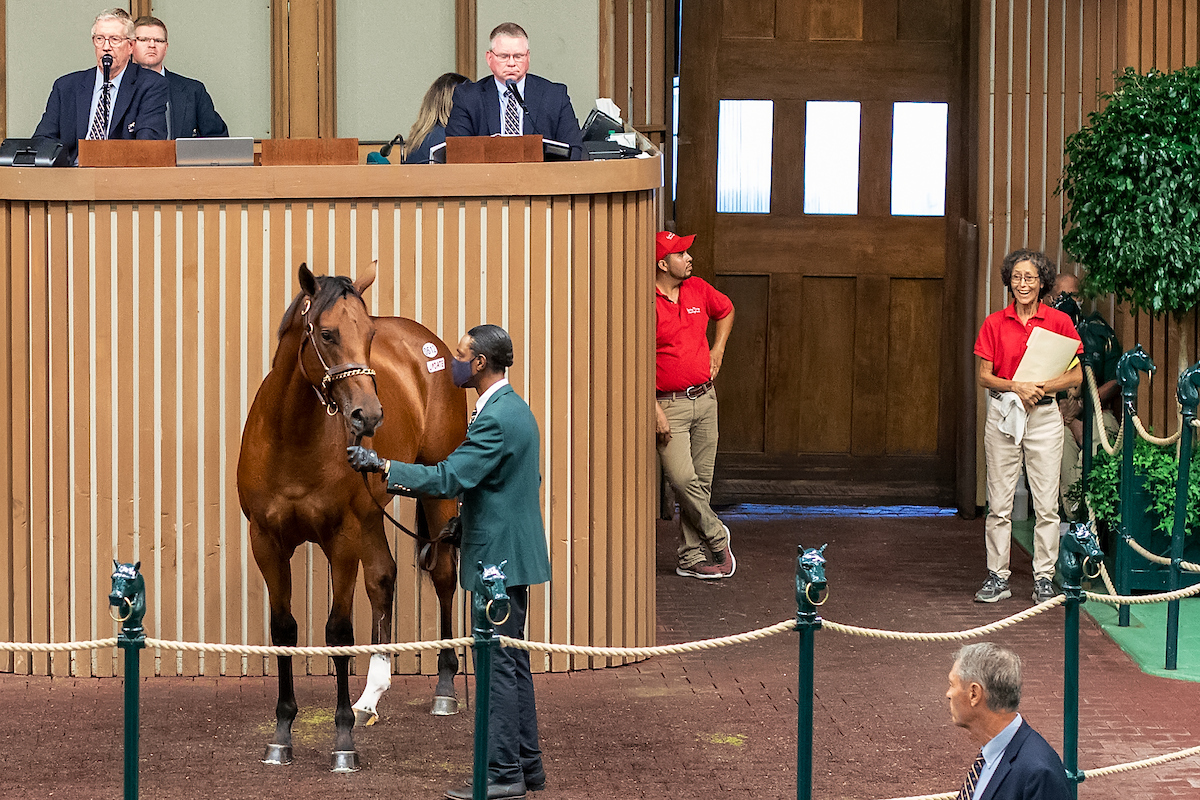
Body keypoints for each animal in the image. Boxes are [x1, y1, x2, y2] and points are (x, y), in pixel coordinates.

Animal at [236, 261, 465, 767]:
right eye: (326, 333)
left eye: (369, 334)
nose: (368, 416)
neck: (291, 439)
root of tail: (430, 345)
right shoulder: (266, 542)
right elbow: (284, 630)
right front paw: (281, 734)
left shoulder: (340, 538)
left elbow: (338, 632)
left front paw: (342, 742)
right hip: (371, 514)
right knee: (383, 578)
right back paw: (369, 698)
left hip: (437, 489)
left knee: (443, 574)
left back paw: (444, 687)